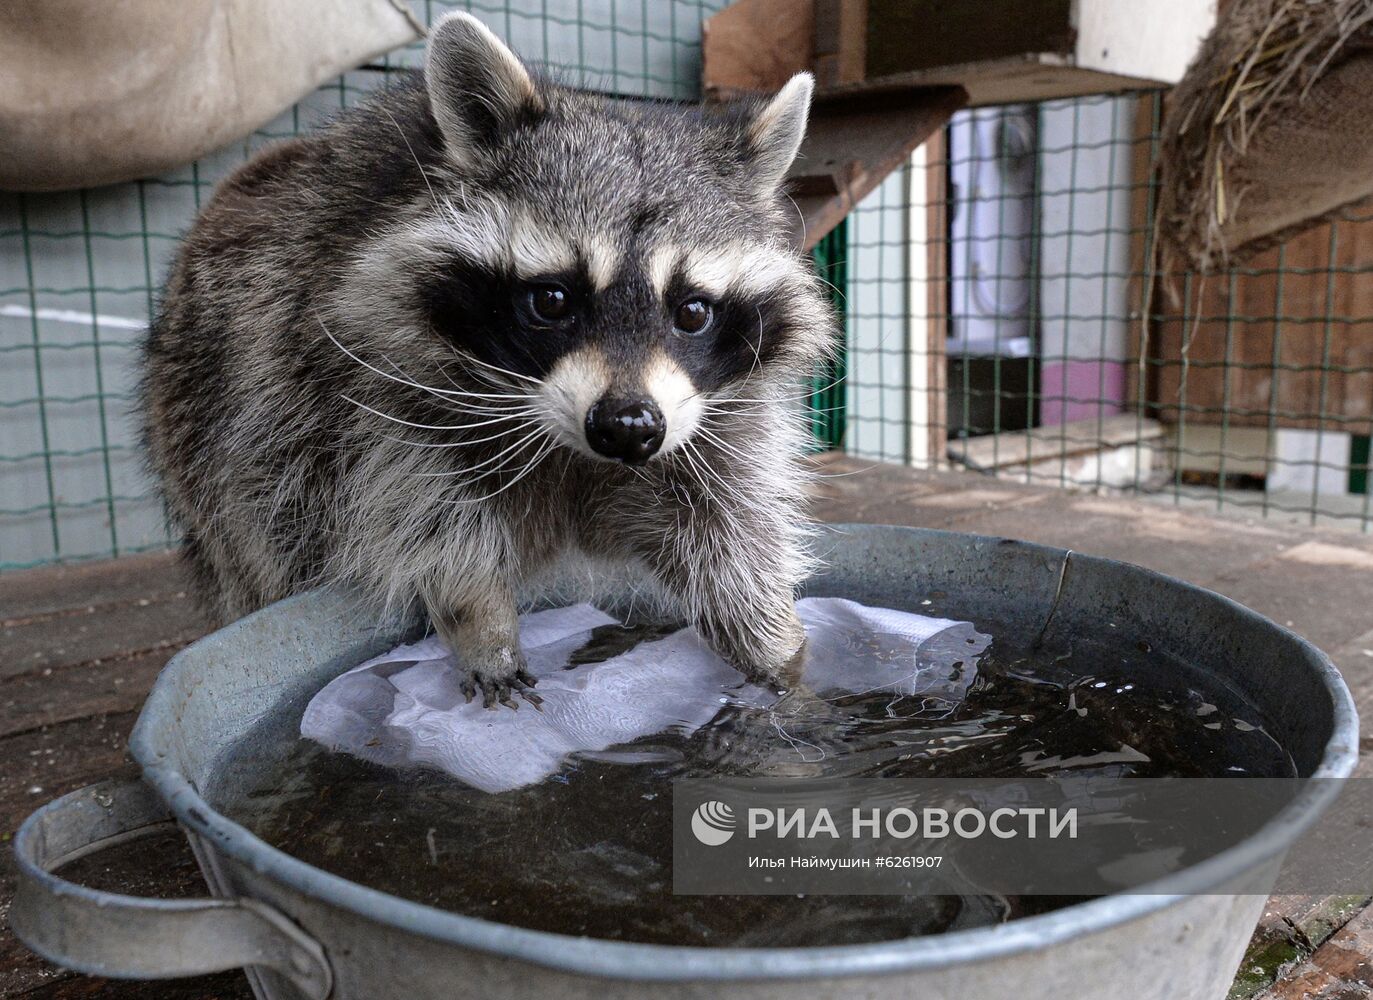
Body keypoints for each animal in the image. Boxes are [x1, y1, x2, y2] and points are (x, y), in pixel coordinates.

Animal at [144, 11, 840, 708]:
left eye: (692, 310)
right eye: (553, 299)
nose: (627, 427)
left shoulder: (714, 411)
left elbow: (727, 522)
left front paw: (774, 644)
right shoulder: (371, 384)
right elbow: (426, 514)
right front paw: (481, 619)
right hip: (225, 441)